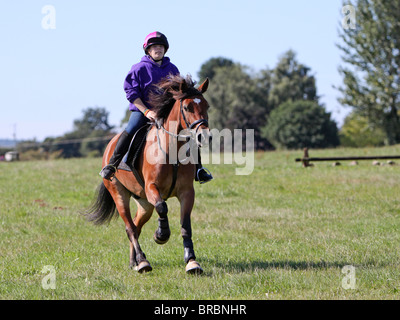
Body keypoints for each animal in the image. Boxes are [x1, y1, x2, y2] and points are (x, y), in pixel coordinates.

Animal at [86, 75, 211, 276]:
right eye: (187, 107)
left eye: (207, 106)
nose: (204, 136)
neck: (172, 151)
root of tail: (109, 145)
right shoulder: (152, 187)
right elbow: (162, 206)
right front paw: (161, 235)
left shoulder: (186, 192)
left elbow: (186, 227)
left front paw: (192, 262)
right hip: (119, 194)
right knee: (130, 228)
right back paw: (143, 262)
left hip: (144, 203)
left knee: (137, 226)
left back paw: (135, 261)